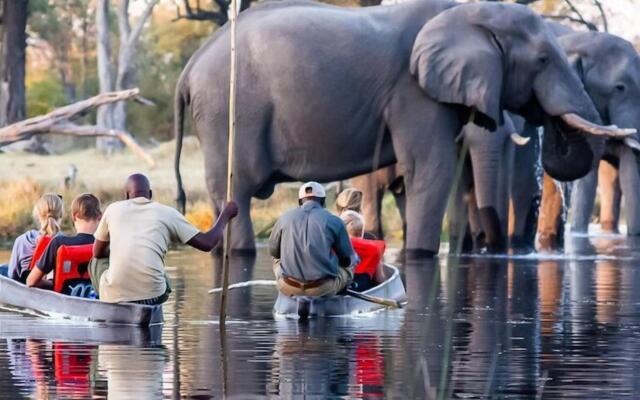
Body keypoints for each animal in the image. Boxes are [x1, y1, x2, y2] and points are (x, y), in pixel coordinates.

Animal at [172, 0, 628, 256]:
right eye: (543, 61)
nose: (491, 248)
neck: (467, 13)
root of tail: (189, 69)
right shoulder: (414, 92)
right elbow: (432, 169)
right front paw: (421, 255)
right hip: (228, 113)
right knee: (238, 192)